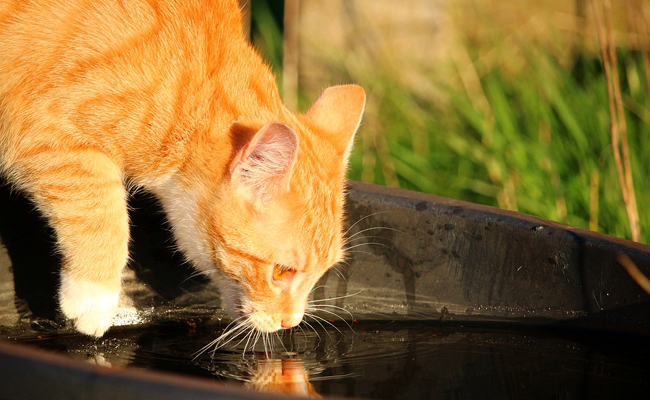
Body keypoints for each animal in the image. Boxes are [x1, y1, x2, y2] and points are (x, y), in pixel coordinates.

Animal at [0, 0, 364, 338]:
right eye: (281, 272)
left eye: (322, 272)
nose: (292, 322)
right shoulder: (44, 130)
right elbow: (100, 207)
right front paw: (95, 298)